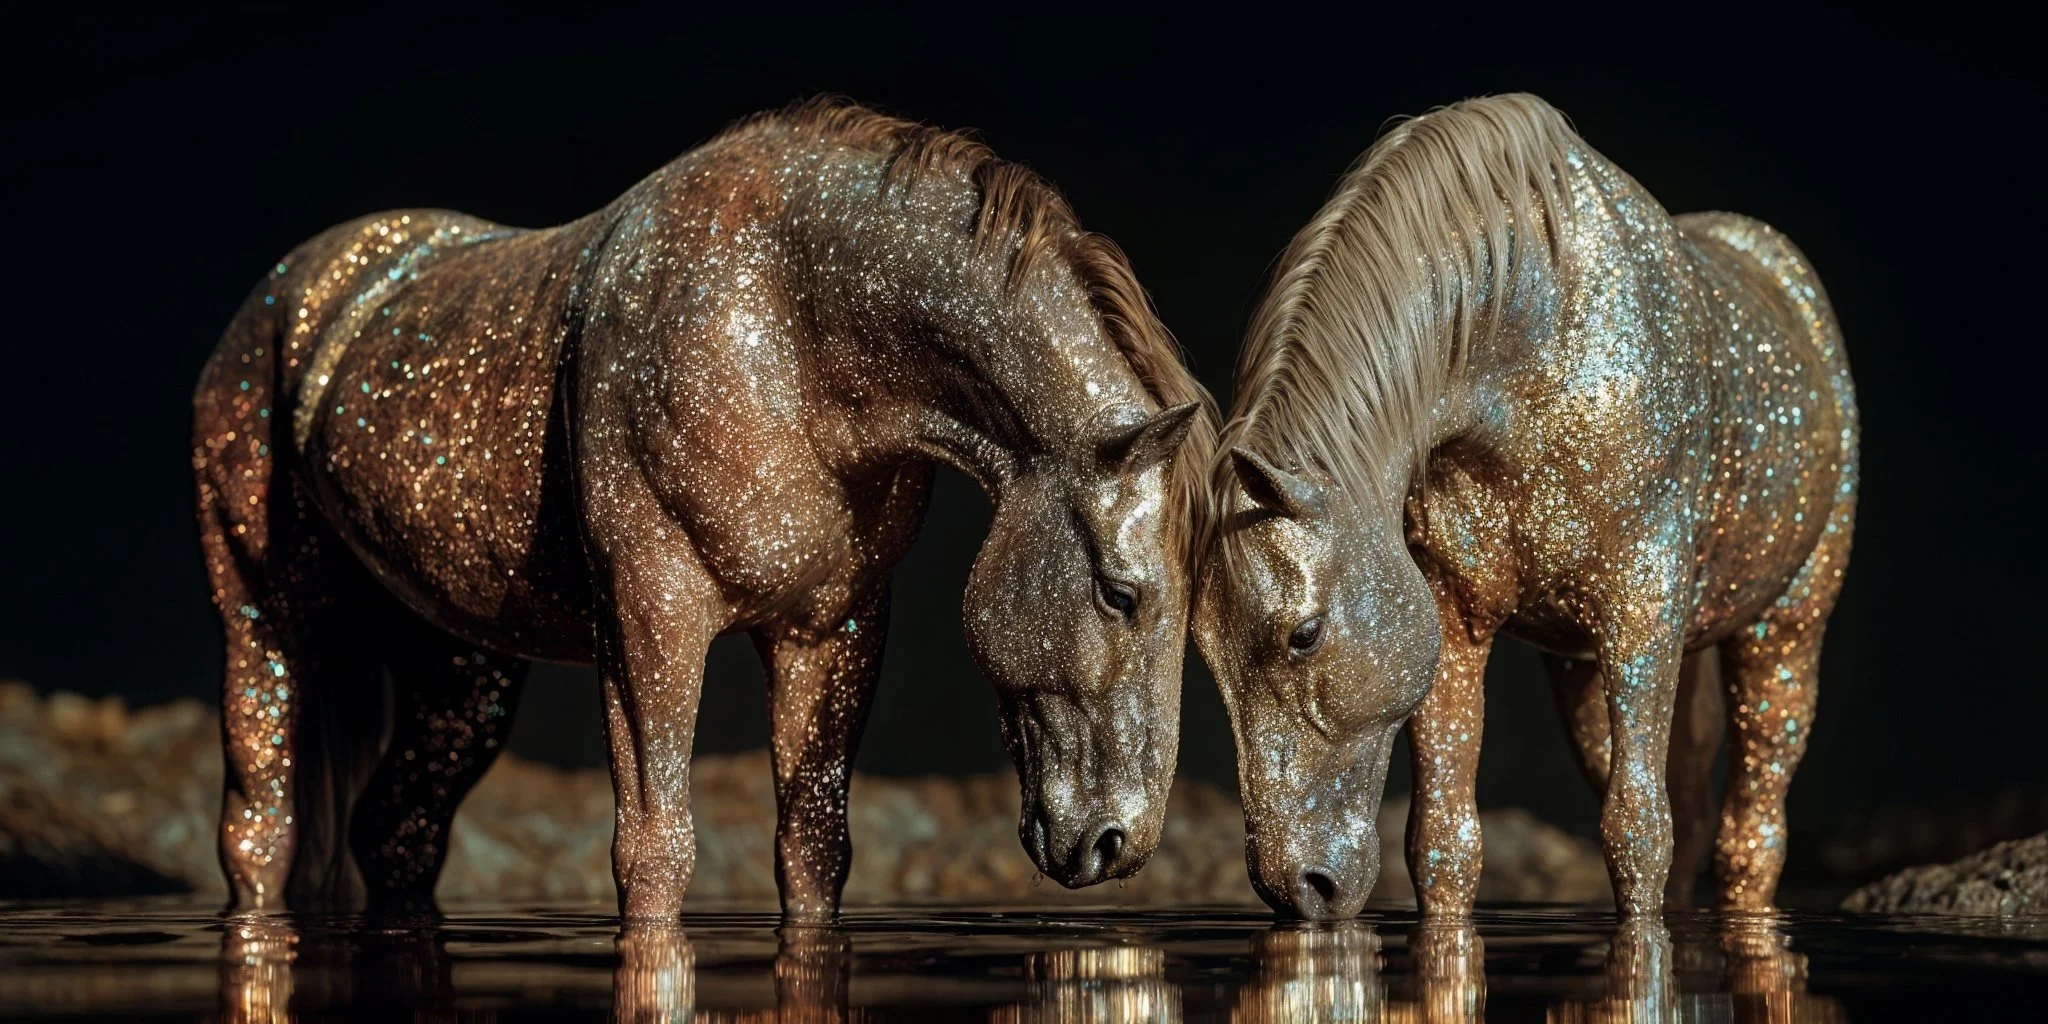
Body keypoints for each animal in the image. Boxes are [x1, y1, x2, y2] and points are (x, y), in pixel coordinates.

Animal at [191, 98, 1215, 922]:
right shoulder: (651, 619)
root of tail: (296, 291)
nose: (1115, 843)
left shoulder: (830, 633)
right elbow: (654, 851)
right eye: (1121, 594)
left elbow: (813, 850)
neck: (781, 325)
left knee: (398, 830)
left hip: (459, 669)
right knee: (260, 826)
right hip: (262, 622)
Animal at [1192, 94, 1856, 919]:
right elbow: (1444, 844)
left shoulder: (1644, 612)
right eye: (1204, 652)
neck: (1540, 338)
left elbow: (1637, 835)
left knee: (1751, 831)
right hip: (1584, 673)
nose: (1299, 889)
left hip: (1785, 632)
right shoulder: (1454, 619)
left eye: (1303, 635)